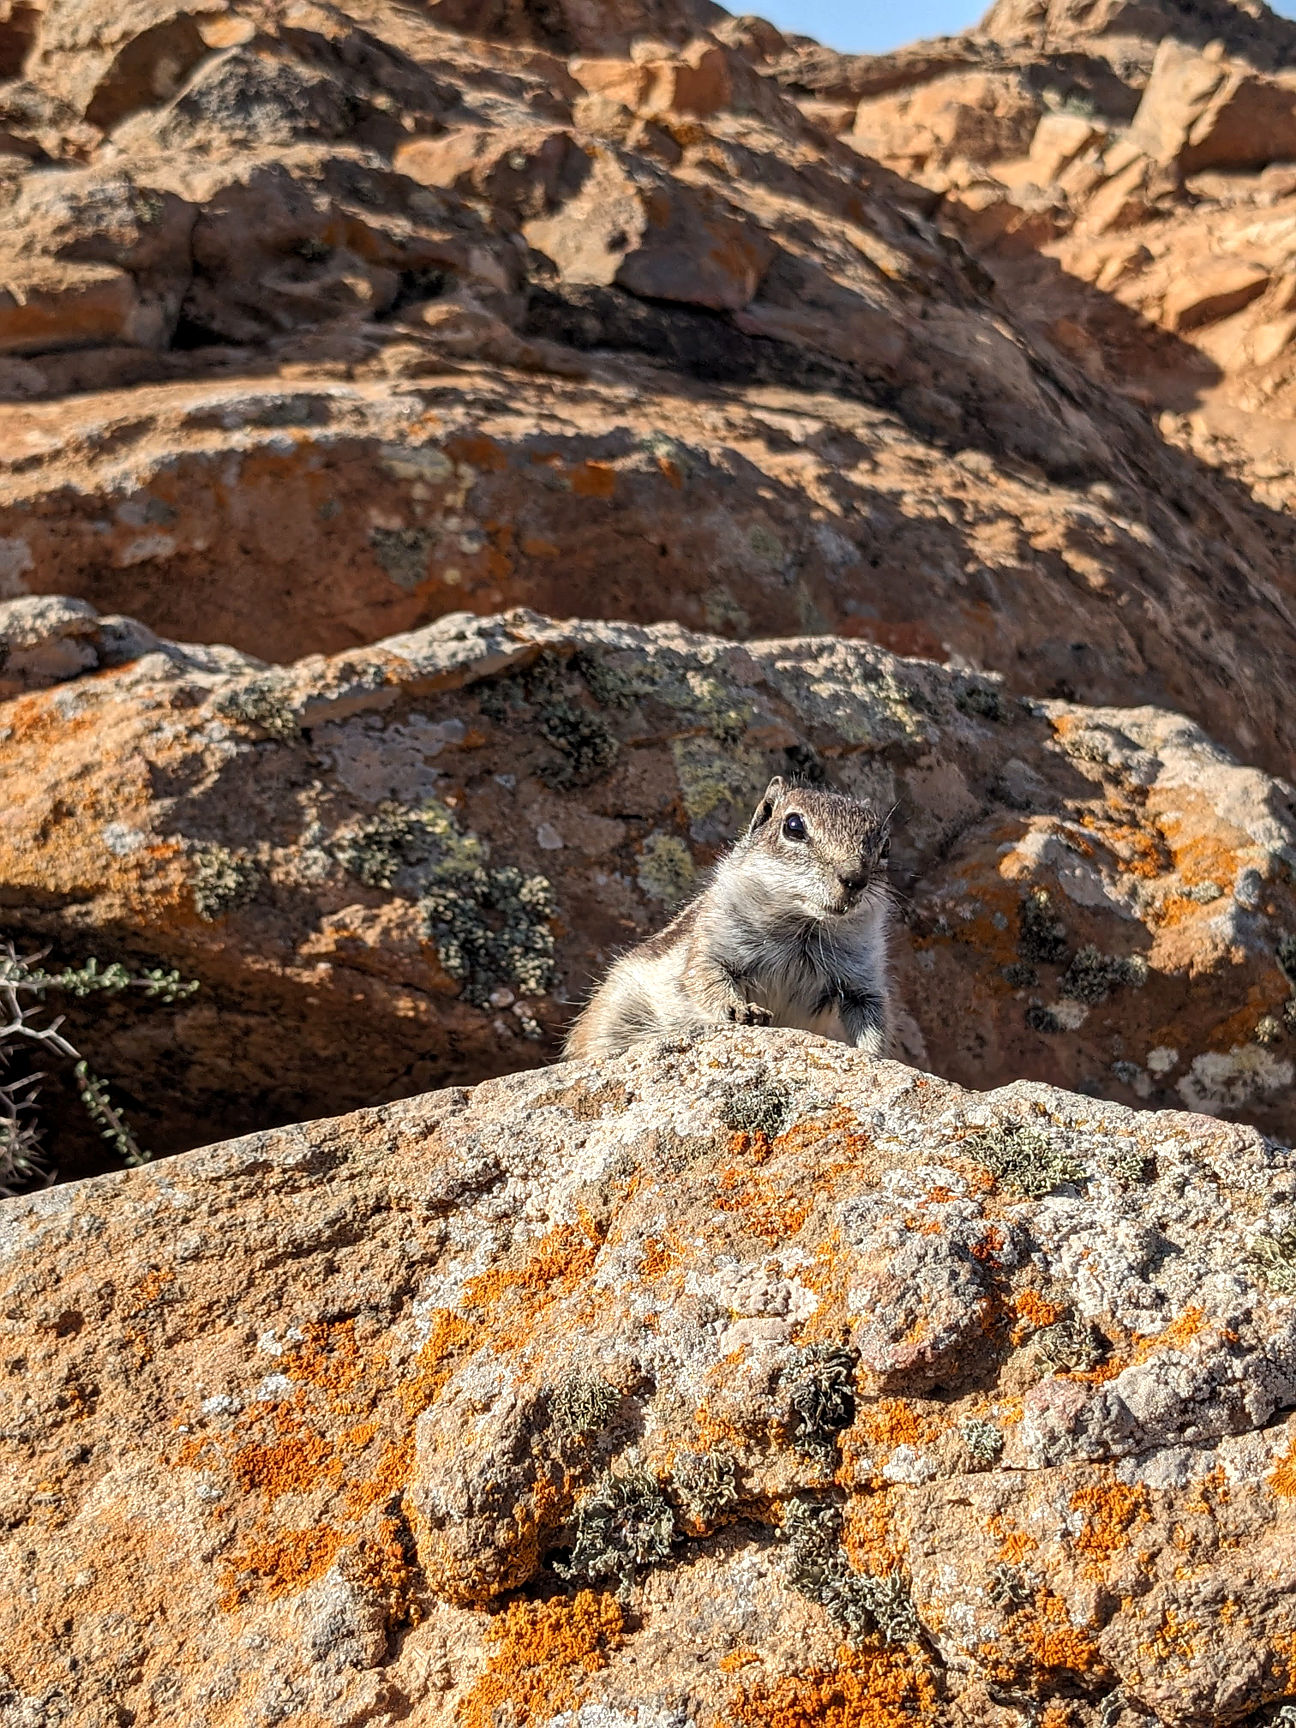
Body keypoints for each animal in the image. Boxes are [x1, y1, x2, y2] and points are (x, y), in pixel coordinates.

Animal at [563, 781, 898, 1050]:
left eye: (886, 847)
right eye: (793, 826)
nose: (854, 879)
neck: (804, 926)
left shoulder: (863, 982)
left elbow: (872, 1020)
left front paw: (874, 1054)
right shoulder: (711, 943)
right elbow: (707, 978)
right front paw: (743, 1010)